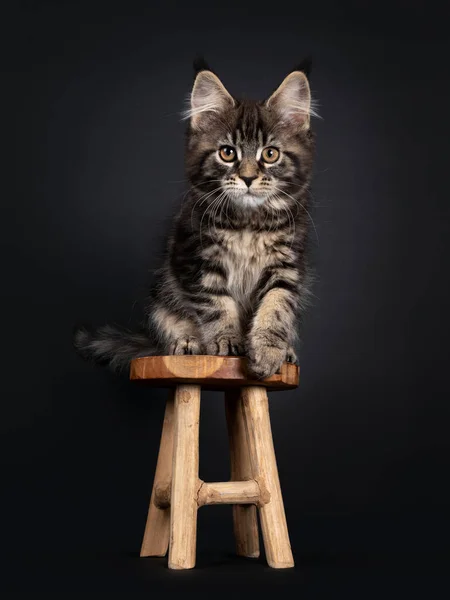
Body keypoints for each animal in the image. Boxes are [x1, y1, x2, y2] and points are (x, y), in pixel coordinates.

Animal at [74, 61, 316, 380]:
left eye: (270, 154)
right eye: (227, 153)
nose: (248, 178)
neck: (248, 223)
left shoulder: (287, 264)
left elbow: (276, 306)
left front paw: (268, 351)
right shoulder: (196, 259)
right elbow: (216, 304)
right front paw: (227, 340)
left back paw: (287, 350)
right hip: (162, 293)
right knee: (173, 321)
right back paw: (187, 342)